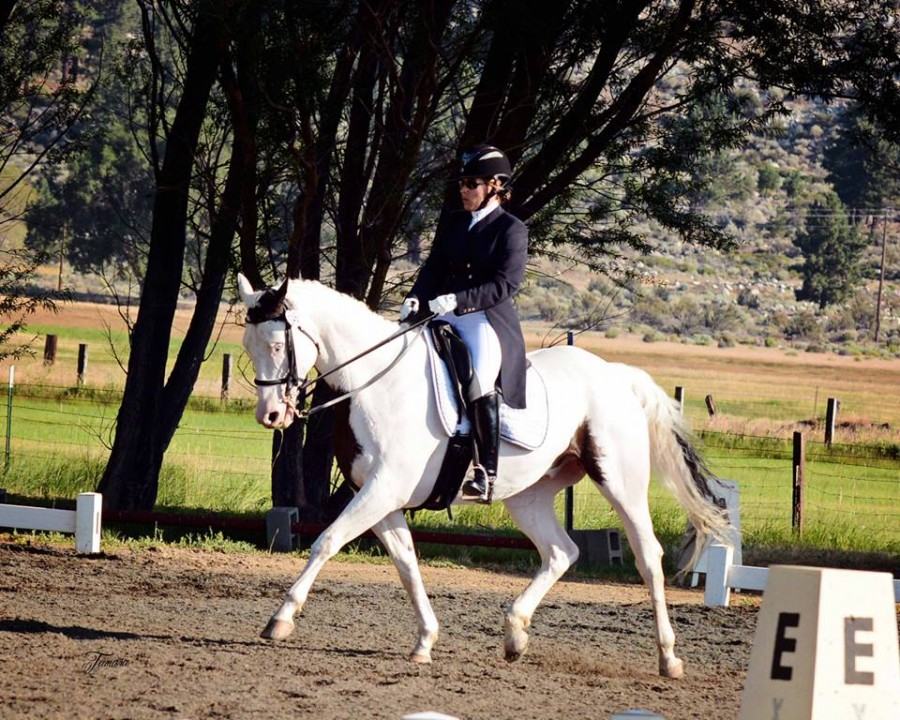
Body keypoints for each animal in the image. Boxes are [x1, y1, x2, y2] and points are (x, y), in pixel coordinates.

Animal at [237, 273, 731, 678]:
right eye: (247, 347)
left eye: (278, 346)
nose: (271, 416)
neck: (376, 384)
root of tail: (615, 374)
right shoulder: (382, 498)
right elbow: (406, 563)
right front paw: (425, 642)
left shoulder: (383, 490)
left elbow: (326, 541)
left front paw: (280, 620)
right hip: (528, 494)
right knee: (560, 551)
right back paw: (515, 635)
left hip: (620, 483)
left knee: (647, 558)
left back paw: (669, 658)